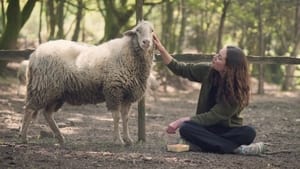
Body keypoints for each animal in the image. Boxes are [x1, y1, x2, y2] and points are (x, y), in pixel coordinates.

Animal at [19, 20, 154, 145]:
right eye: (138, 30)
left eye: (152, 31)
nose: (146, 42)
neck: (129, 54)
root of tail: (34, 54)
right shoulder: (114, 90)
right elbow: (116, 117)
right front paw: (118, 140)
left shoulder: (127, 95)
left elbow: (125, 118)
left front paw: (128, 140)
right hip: (44, 87)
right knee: (29, 109)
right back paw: (24, 137)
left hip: (56, 92)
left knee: (47, 114)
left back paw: (60, 138)